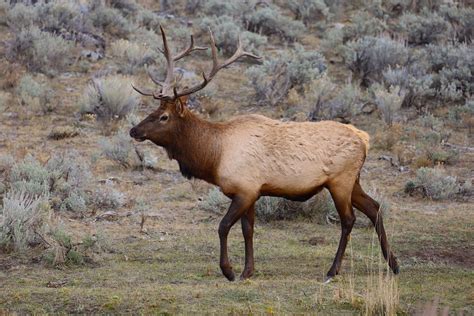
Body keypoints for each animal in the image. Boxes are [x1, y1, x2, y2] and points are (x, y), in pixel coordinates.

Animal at [128, 26, 398, 282]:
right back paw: (393, 264)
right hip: (353, 180)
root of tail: (364, 138)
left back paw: (333, 270)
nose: (134, 130)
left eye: (164, 116)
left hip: (340, 180)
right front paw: (248, 271)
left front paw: (229, 270)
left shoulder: (245, 189)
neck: (214, 156)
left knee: (349, 219)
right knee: (375, 207)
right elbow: (248, 229)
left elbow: (223, 226)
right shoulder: (251, 192)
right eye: (154, 110)